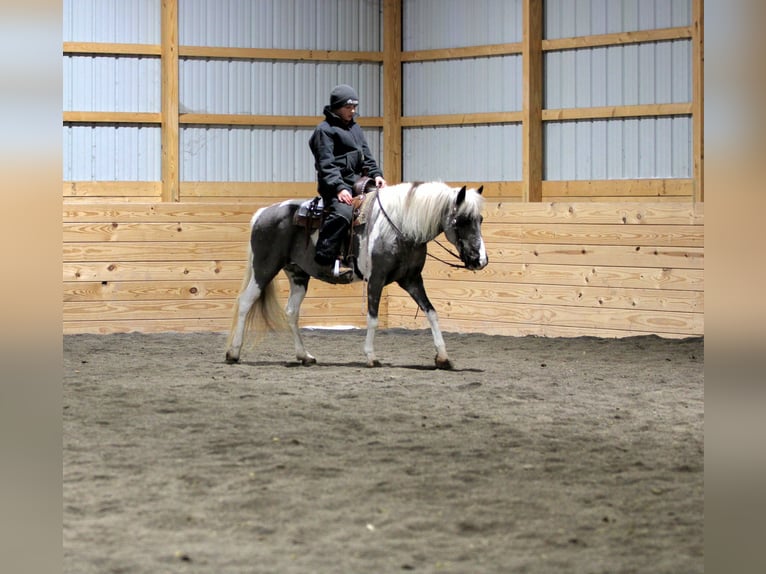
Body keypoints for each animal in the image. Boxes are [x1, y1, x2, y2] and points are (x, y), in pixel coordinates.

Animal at [224, 181, 488, 369]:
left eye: (480, 219)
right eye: (462, 220)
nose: (480, 260)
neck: (399, 226)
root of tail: (262, 213)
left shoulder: (412, 280)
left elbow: (431, 313)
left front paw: (443, 357)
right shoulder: (376, 279)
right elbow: (373, 318)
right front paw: (371, 357)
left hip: (298, 275)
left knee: (291, 312)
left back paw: (304, 356)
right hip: (264, 268)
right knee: (245, 302)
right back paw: (233, 353)